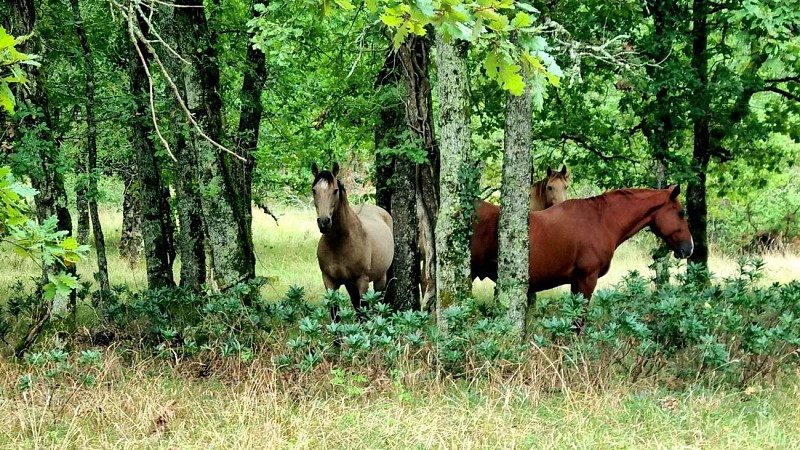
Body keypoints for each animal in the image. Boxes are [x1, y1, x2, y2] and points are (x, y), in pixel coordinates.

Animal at [312, 163, 394, 316]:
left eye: (335, 191)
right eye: (314, 190)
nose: (324, 222)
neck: (341, 243)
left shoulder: (362, 281)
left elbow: (364, 311)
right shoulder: (329, 281)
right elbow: (335, 313)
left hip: (380, 278)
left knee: (379, 302)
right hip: (350, 285)